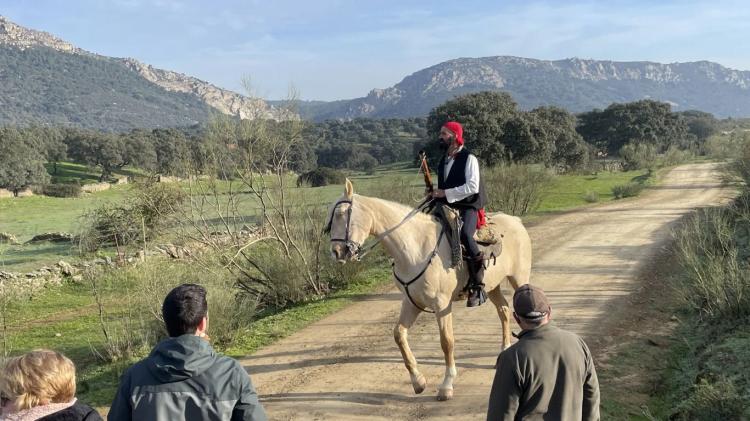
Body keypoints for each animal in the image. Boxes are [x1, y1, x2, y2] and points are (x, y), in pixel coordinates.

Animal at [326, 179, 532, 398]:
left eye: (341, 214)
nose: (336, 252)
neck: (415, 249)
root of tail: (515, 221)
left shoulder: (441, 304)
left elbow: (446, 341)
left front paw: (447, 385)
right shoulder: (411, 302)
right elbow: (399, 334)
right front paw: (418, 381)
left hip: (519, 280)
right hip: (492, 287)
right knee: (503, 310)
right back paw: (502, 352)